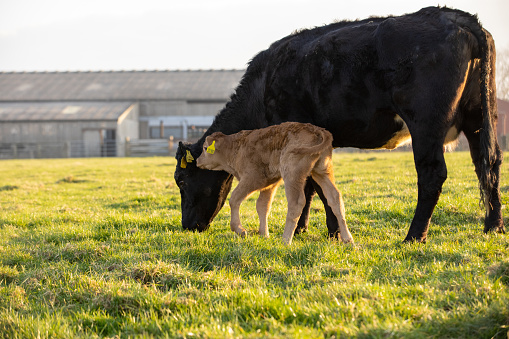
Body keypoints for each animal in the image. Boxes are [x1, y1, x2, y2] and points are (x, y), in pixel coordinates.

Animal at [195, 122, 354, 244]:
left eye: (205, 148)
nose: (197, 161)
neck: (237, 147)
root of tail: (317, 130)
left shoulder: (252, 179)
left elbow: (234, 199)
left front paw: (240, 230)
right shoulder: (270, 183)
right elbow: (262, 206)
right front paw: (264, 234)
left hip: (292, 175)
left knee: (296, 203)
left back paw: (285, 240)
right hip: (322, 172)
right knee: (335, 197)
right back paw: (348, 240)